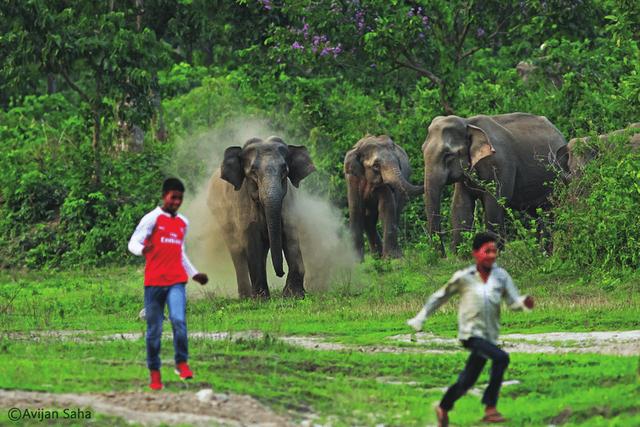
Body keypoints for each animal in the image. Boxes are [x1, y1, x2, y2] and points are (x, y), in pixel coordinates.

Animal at [208, 137, 316, 298]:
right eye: (253, 172)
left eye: (285, 170)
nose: (280, 273)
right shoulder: (243, 204)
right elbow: (253, 242)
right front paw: (261, 299)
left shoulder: (288, 203)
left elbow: (290, 237)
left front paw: (294, 295)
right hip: (221, 218)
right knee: (237, 252)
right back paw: (245, 296)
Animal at [422, 113, 568, 254]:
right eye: (422, 150)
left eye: (448, 155)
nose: (442, 256)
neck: (468, 122)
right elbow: (461, 206)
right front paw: (461, 258)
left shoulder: (499, 164)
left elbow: (494, 205)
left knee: (548, 213)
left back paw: (544, 255)